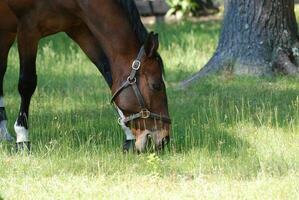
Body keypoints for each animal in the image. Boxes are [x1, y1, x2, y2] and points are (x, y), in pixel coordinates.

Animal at [0, 0, 171, 152]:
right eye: (156, 85)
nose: (164, 139)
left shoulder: (80, 29)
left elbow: (108, 74)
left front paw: (128, 136)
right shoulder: (28, 29)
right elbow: (27, 84)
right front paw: (22, 138)